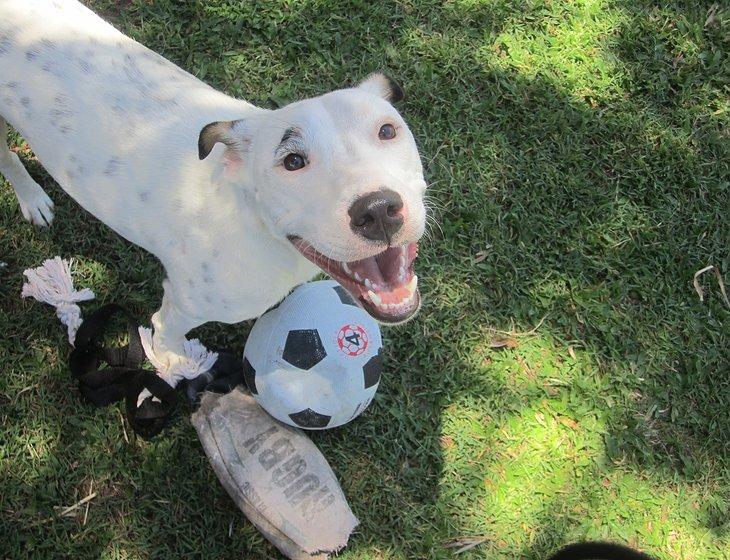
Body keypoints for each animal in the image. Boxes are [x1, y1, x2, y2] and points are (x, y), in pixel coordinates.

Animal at [0, 0, 426, 376]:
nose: (378, 210)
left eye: (387, 130)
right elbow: (163, 332)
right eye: (292, 161)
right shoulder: (185, 305)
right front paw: (171, 363)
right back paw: (32, 198)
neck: (252, 221)